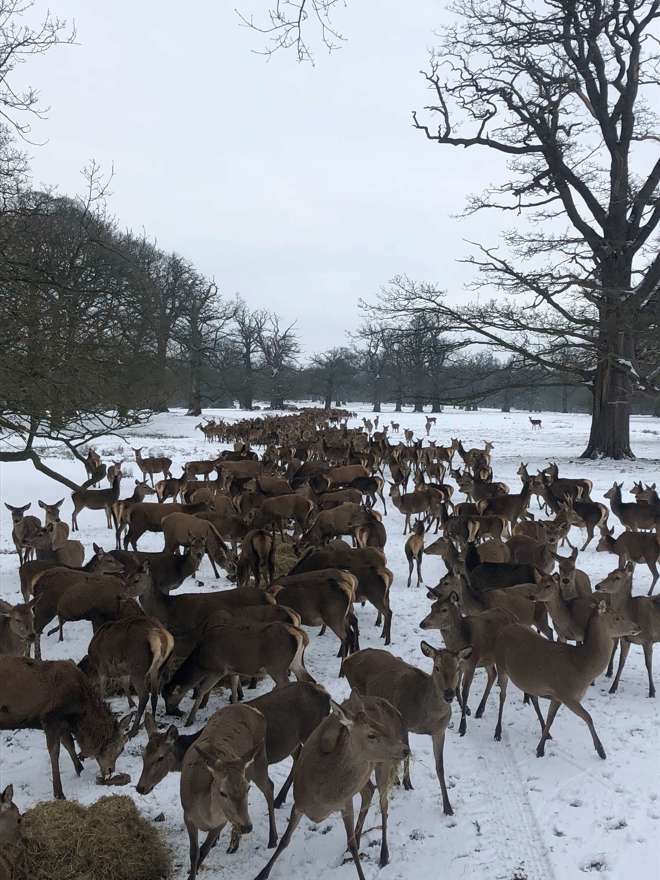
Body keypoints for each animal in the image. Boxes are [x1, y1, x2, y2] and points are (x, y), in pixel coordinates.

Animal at [0, 656, 133, 800]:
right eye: (120, 748)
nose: (110, 771)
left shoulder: (63, 722)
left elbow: (69, 744)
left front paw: (80, 769)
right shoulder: (50, 718)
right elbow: (54, 751)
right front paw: (59, 792)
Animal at [251, 692, 408, 880]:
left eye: (381, 725)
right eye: (371, 734)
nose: (405, 749)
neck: (323, 796)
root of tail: (394, 709)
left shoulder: (346, 802)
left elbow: (353, 846)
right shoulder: (299, 802)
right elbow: (284, 840)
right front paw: (261, 874)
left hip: (382, 763)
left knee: (384, 804)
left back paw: (383, 855)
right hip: (367, 771)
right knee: (369, 791)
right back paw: (358, 838)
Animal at [490, 600, 640, 760]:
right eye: (617, 618)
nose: (638, 627)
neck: (582, 668)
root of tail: (503, 629)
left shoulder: (558, 695)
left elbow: (551, 719)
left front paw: (541, 747)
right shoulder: (566, 694)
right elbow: (588, 717)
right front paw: (601, 751)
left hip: (528, 681)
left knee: (533, 697)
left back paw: (544, 731)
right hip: (501, 665)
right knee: (502, 696)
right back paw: (497, 732)